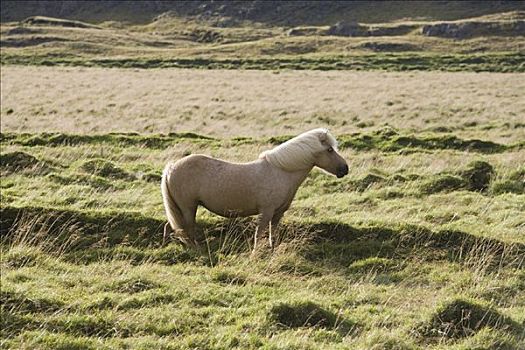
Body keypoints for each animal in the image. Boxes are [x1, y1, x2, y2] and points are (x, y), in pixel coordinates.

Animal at [160, 127, 348, 250]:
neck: (281, 172)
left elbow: (273, 233)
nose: (345, 169)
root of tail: (172, 167)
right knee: (186, 229)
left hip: (181, 209)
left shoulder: (278, 213)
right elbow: (260, 234)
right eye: (329, 150)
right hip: (187, 208)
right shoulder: (266, 211)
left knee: (172, 227)